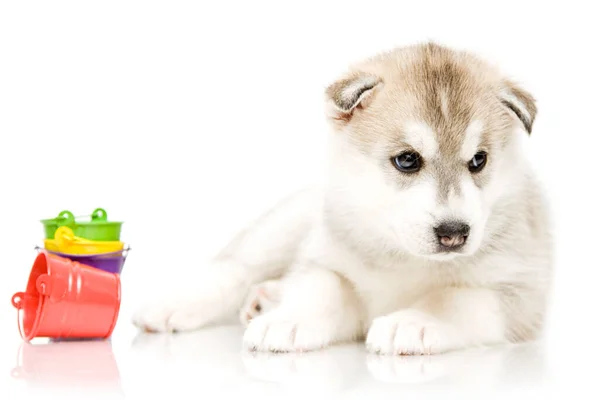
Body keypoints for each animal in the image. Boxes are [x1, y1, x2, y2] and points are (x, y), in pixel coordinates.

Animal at [135, 43, 552, 356]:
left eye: (479, 160)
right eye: (407, 160)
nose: (454, 233)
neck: (404, 258)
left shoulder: (520, 295)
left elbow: (456, 300)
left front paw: (412, 321)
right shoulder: (327, 260)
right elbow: (322, 289)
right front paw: (289, 319)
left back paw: (266, 299)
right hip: (287, 222)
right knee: (235, 267)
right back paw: (177, 305)